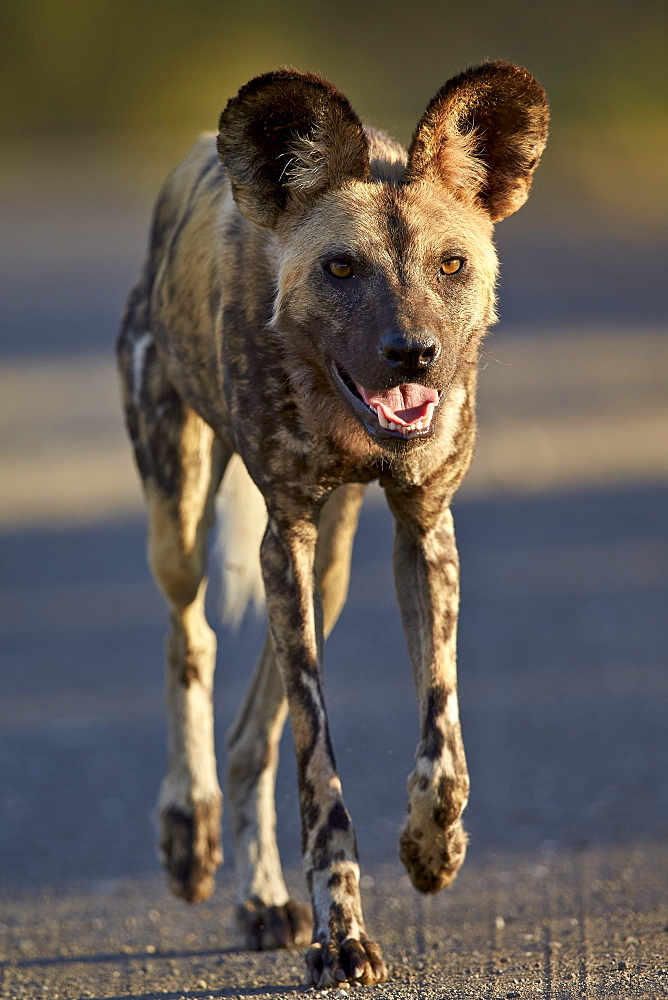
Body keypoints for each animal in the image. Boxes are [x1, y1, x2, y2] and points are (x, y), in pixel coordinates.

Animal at [118, 64, 548, 992]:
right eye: (342, 267)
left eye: (452, 265)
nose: (412, 353)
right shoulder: (286, 535)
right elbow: (320, 773)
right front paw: (341, 936)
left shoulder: (421, 530)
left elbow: (442, 748)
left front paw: (431, 851)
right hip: (185, 519)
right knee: (188, 637)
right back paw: (190, 832)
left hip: (334, 569)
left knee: (250, 737)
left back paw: (262, 898)